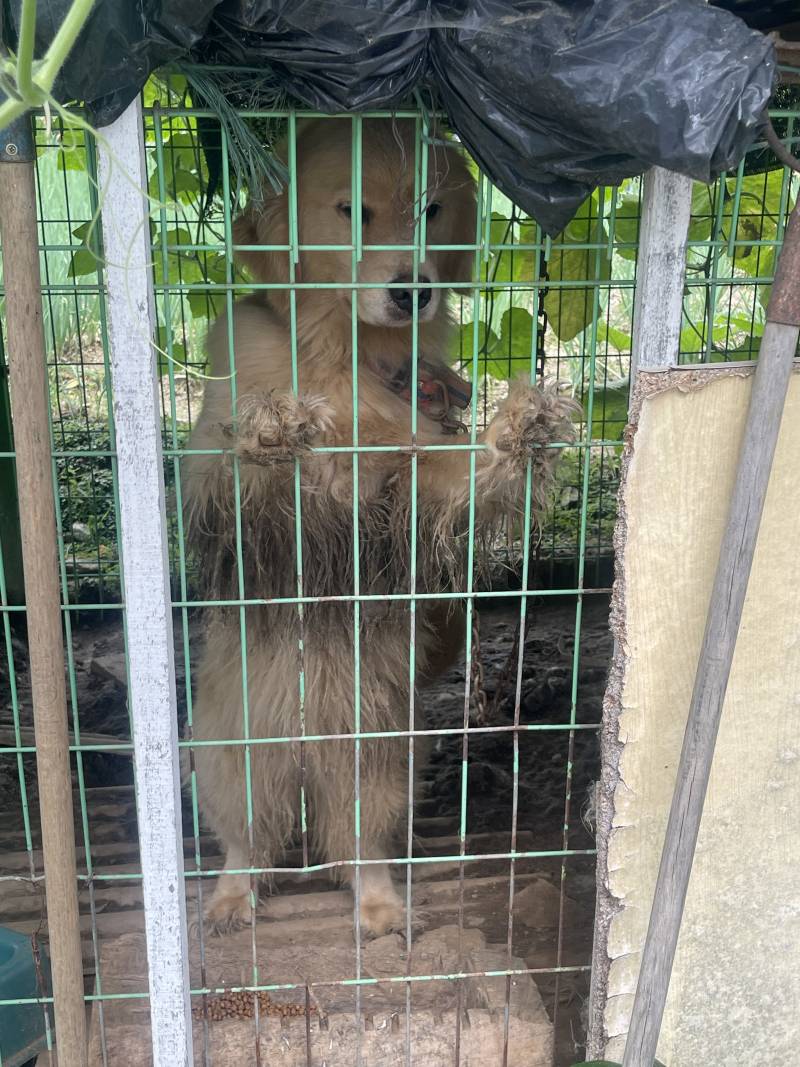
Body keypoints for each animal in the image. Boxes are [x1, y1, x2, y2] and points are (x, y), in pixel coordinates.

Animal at [184, 116, 580, 934]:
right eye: (351, 211)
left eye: (430, 210)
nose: (413, 289)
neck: (345, 355)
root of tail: (309, 757)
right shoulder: (218, 486)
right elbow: (250, 466)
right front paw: (275, 429)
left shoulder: (411, 481)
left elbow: (460, 471)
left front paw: (518, 431)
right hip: (234, 762)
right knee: (248, 843)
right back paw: (233, 898)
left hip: (378, 767)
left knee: (358, 847)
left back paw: (380, 906)